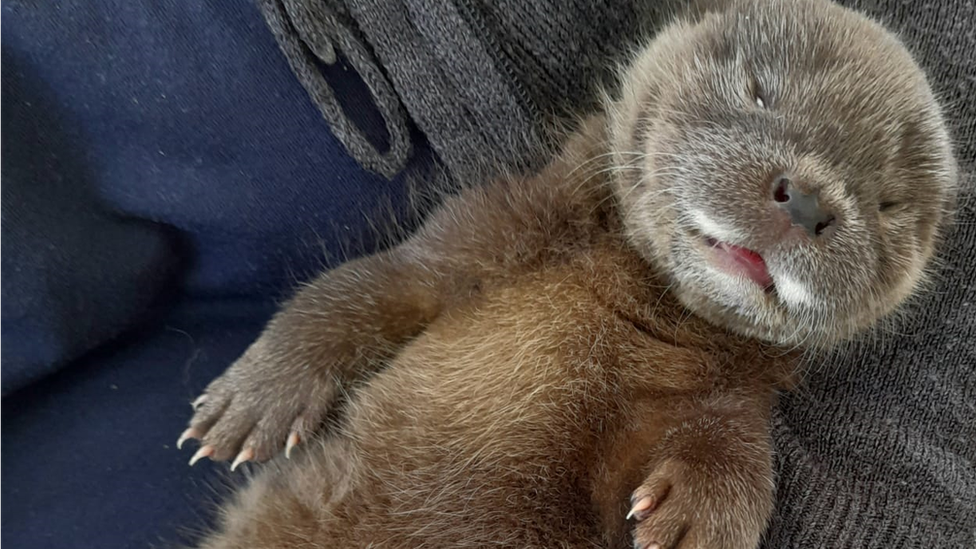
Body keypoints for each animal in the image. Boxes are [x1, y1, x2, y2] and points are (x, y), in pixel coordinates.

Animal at [175, 2, 952, 544]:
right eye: (761, 91)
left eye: (886, 202)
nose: (812, 201)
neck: (627, 304)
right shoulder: (479, 232)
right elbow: (357, 288)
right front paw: (258, 396)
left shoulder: (730, 393)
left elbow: (738, 445)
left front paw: (700, 519)